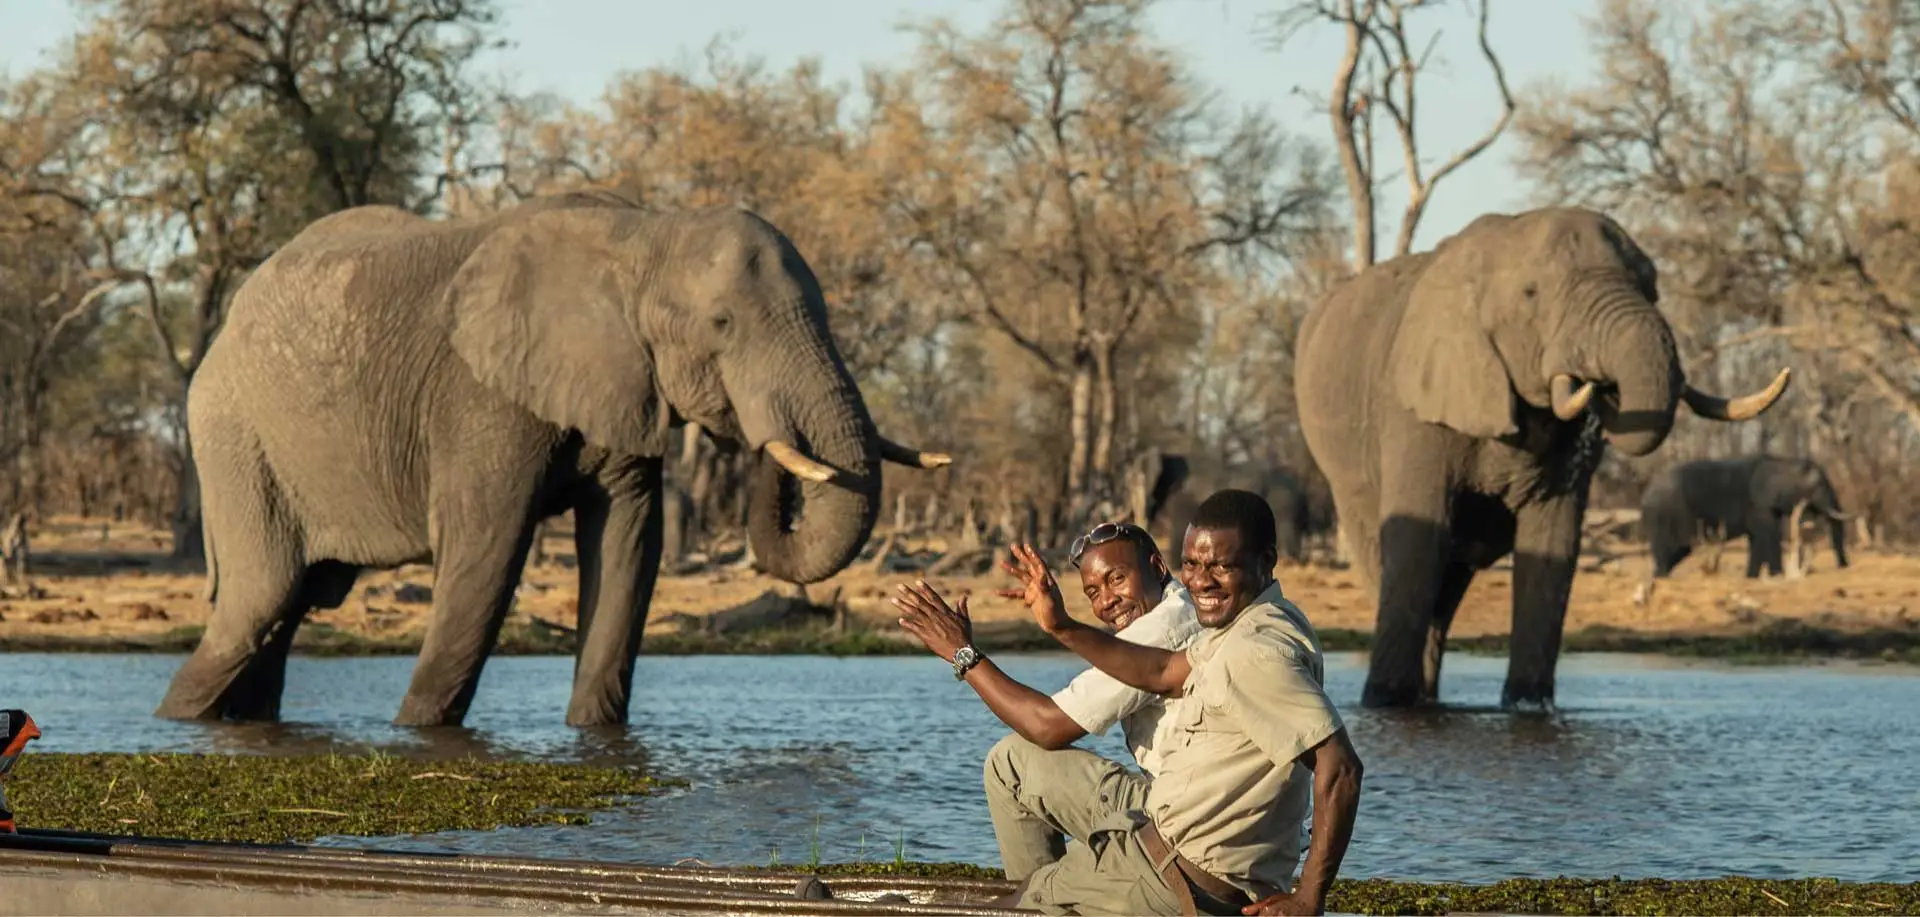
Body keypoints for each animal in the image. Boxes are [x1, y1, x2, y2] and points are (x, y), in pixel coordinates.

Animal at [153, 189, 948, 728]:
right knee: (261, 599)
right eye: (722, 324)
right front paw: (415, 733)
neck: (646, 234)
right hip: (234, 439)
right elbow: (487, 550)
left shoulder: (624, 384)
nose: (762, 442)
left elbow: (629, 545)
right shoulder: (482, 395)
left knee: (287, 610)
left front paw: (594, 734)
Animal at [1297, 206, 1789, 709]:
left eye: (1652, 288)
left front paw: (1529, 706)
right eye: (1532, 294)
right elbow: (1419, 542)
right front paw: (1384, 702)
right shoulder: (1415, 407)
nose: (1594, 379)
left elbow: (1552, 546)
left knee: (1449, 585)